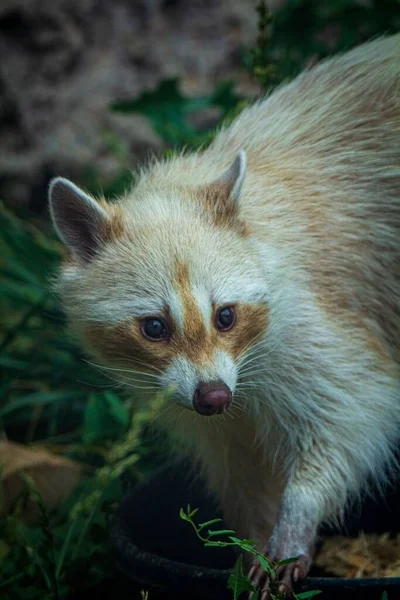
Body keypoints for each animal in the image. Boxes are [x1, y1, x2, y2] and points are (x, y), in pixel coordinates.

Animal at [49, 35, 400, 596]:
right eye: (154, 327)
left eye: (226, 316)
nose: (213, 397)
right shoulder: (202, 406)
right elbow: (239, 466)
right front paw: (251, 540)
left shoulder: (315, 323)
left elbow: (356, 411)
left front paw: (298, 514)